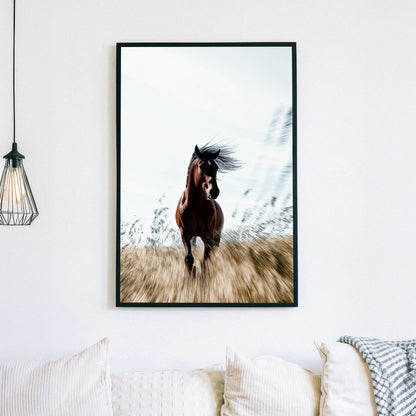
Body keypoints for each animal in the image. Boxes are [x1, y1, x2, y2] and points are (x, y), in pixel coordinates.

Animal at [176, 143, 240, 272]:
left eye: (216, 167)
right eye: (201, 165)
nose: (214, 191)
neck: (194, 206)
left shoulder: (208, 236)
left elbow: (205, 261)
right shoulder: (184, 233)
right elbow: (189, 259)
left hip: (216, 238)